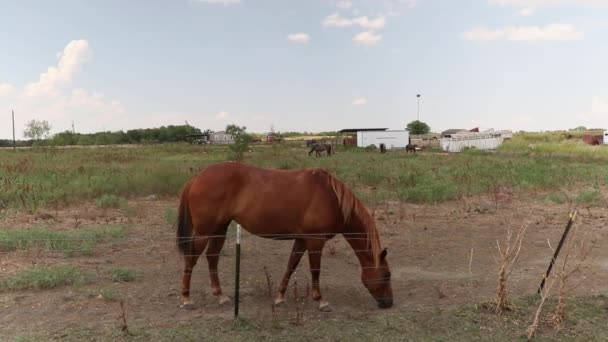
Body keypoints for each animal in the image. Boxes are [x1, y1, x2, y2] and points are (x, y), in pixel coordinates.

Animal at [176, 162, 394, 312]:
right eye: (386, 274)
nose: (389, 303)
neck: (332, 198)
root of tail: (197, 178)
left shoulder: (301, 239)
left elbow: (291, 264)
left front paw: (280, 296)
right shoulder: (315, 241)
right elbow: (315, 270)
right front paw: (321, 301)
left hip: (220, 229)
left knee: (212, 258)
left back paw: (220, 296)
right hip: (204, 232)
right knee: (191, 260)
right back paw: (186, 298)